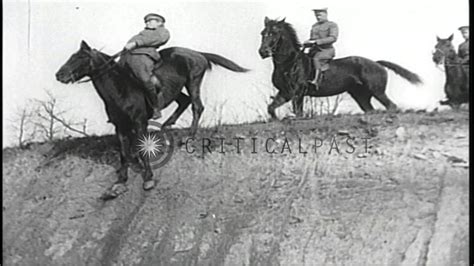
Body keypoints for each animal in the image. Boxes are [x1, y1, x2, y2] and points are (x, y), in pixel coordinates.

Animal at [56, 41, 248, 200]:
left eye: (80, 57)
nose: (59, 75)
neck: (121, 88)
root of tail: (197, 53)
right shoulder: (120, 127)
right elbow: (123, 153)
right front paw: (120, 182)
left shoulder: (140, 123)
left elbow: (142, 149)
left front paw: (148, 178)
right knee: (184, 101)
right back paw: (166, 125)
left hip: (193, 81)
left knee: (196, 106)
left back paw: (189, 136)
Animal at [258, 17, 424, 119]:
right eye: (263, 33)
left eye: (274, 33)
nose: (263, 52)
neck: (290, 62)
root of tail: (376, 63)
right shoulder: (285, 92)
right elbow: (271, 108)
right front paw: (275, 119)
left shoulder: (298, 93)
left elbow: (298, 112)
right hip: (361, 95)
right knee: (371, 109)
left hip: (377, 91)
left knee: (391, 106)